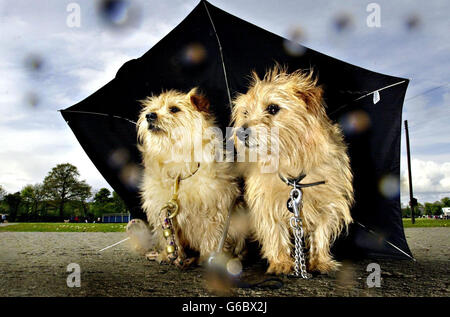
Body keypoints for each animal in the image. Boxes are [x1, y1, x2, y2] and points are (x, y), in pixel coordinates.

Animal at [131, 87, 246, 266]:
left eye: (174, 109)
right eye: (152, 109)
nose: (149, 115)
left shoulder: (216, 210)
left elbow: (212, 236)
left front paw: (208, 257)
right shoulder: (162, 212)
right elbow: (170, 238)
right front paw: (170, 256)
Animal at [232, 66, 356, 274]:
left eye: (273, 108)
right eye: (246, 113)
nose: (241, 132)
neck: (291, 162)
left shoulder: (329, 202)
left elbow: (321, 232)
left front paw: (321, 261)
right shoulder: (266, 204)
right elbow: (275, 233)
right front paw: (281, 263)